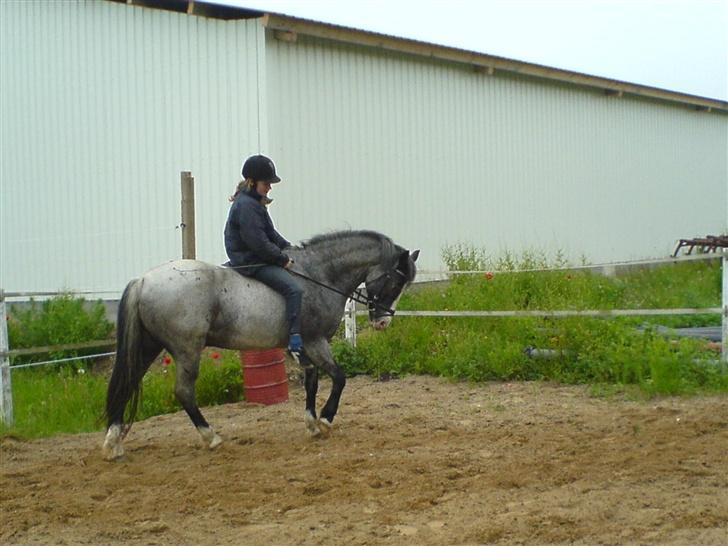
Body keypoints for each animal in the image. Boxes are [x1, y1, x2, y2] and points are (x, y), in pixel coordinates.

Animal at [103, 230, 420, 460]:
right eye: (395, 283)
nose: (383, 322)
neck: (318, 276)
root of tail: (144, 280)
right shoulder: (315, 341)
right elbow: (339, 377)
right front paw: (326, 419)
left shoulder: (306, 347)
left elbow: (312, 381)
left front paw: (311, 424)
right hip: (187, 349)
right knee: (183, 392)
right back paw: (211, 437)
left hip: (149, 346)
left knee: (127, 383)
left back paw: (113, 444)